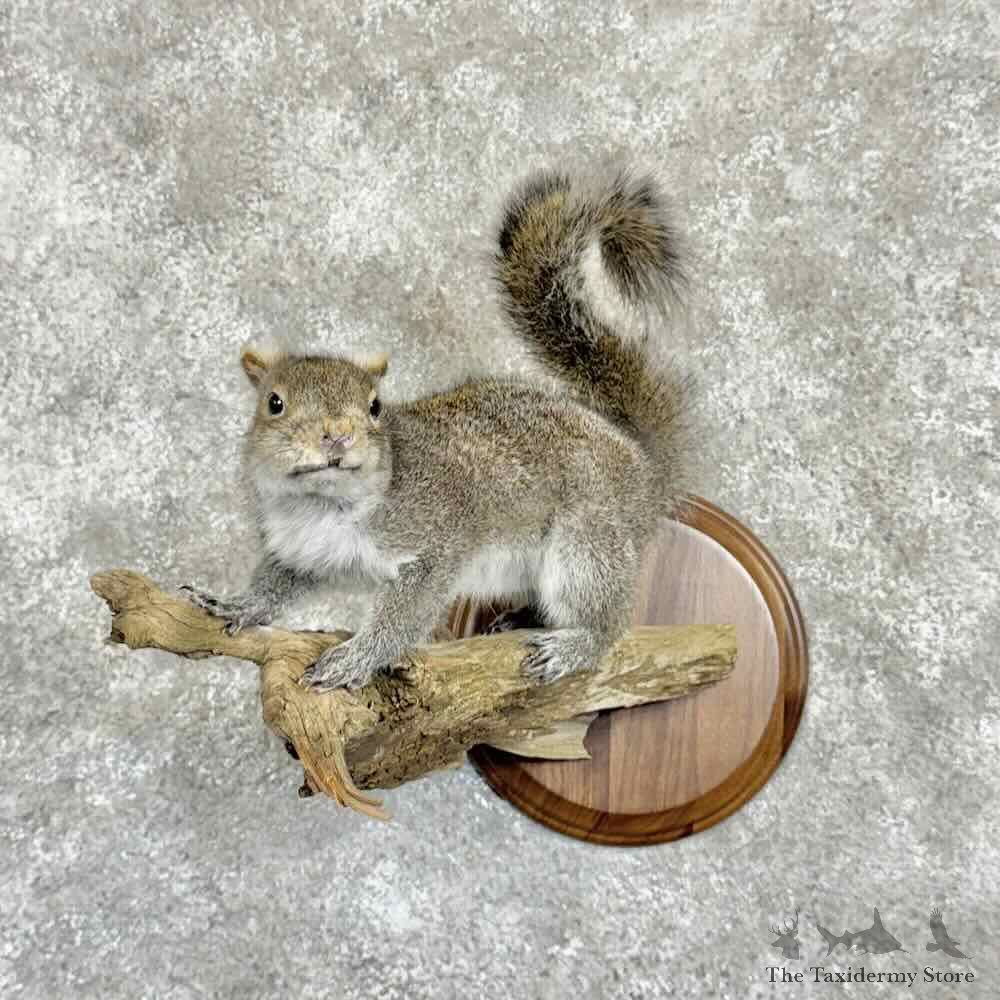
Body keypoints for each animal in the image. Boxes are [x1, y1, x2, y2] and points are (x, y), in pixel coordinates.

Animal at [183, 166, 693, 691]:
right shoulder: (300, 550)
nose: (338, 435)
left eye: (375, 406)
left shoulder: (434, 541)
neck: (322, 505)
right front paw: (236, 604)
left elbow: (405, 613)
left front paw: (354, 659)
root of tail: (643, 462)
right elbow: (279, 583)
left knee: (608, 620)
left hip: (588, 540)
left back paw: (573, 646)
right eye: (274, 403)